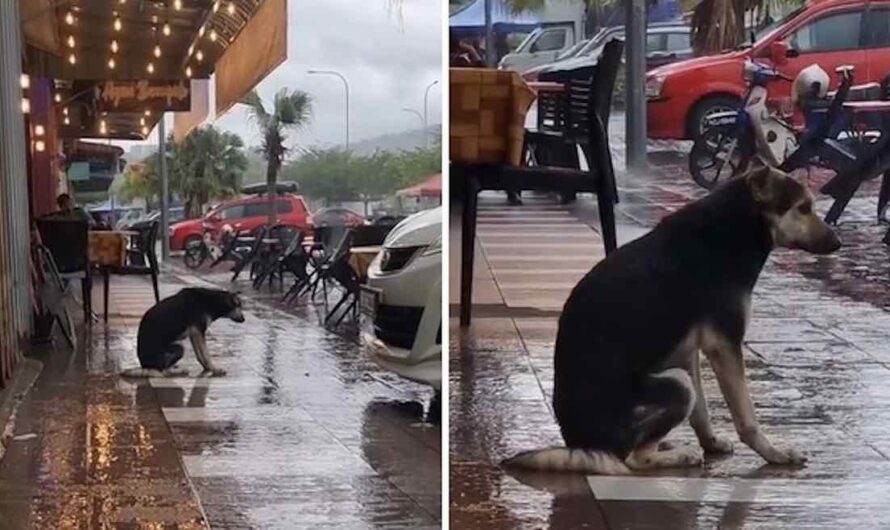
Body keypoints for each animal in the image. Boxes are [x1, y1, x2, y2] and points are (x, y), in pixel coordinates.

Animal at [506, 167, 840, 472]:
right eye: (804, 208)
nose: (838, 243)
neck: (734, 226)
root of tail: (582, 444)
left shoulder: (687, 350)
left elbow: (702, 412)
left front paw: (711, 443)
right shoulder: (724, 345)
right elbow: (746, 417)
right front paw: (773, 453)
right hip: (676, 385)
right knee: (634, 458)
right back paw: (676, 456)